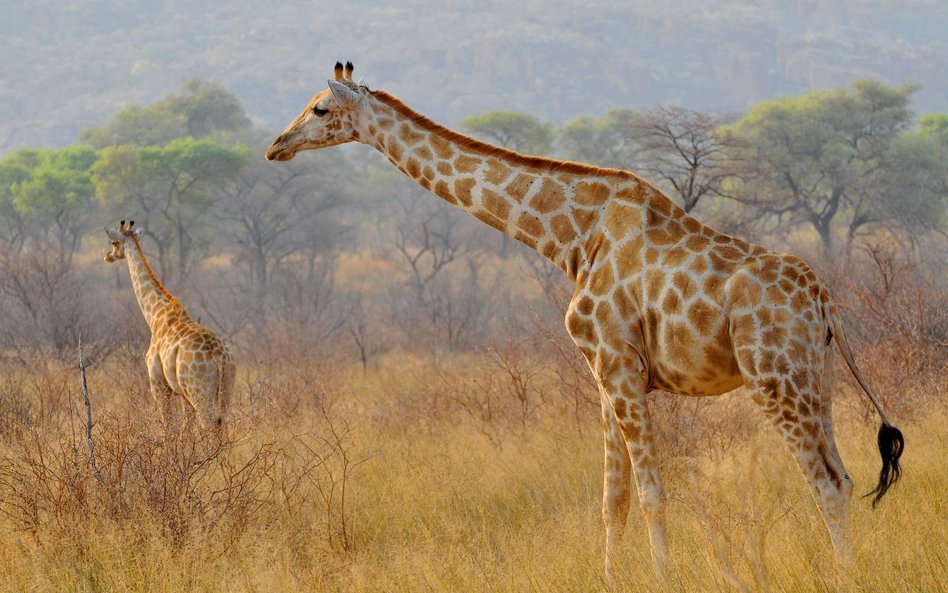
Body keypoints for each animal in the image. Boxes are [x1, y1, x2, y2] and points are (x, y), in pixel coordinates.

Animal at [104, 220, 235, 428]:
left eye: (114, 242)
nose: (108, 256)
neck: (155, 315)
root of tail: (220, 357)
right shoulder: (181, 393)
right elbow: (186, 428)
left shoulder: (158, 385)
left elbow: (170, 427)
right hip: (225, 391)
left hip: (199, 392)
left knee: (209, 424)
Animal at [264, 62, 904, 580]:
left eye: (320, 108)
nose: (275, 146)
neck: (572, 239)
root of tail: (825, 304)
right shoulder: (604, 376)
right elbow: (611, 500)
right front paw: (611, 577)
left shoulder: (619, 368)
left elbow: (651, 493)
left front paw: (664, 578)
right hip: (815, 380)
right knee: (845, 477)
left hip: (774, 379)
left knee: (824, 482)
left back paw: (844, 576)